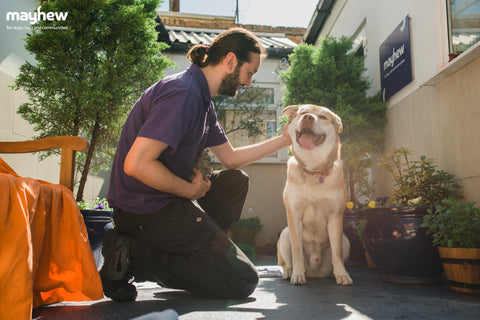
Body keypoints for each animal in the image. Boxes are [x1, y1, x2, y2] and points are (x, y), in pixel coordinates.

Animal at [276, 104, 350, 284]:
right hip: (285, 234)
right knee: (285, 262)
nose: (308, 117)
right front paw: (297, 275)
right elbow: (297, 250)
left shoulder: (335, 216)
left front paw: (342, 275)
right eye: (303, 112)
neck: (314, 169)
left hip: (346, 240)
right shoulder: (294, 214)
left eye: (323, 117)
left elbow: (336, 252)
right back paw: (289, 272)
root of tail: (313, 271)